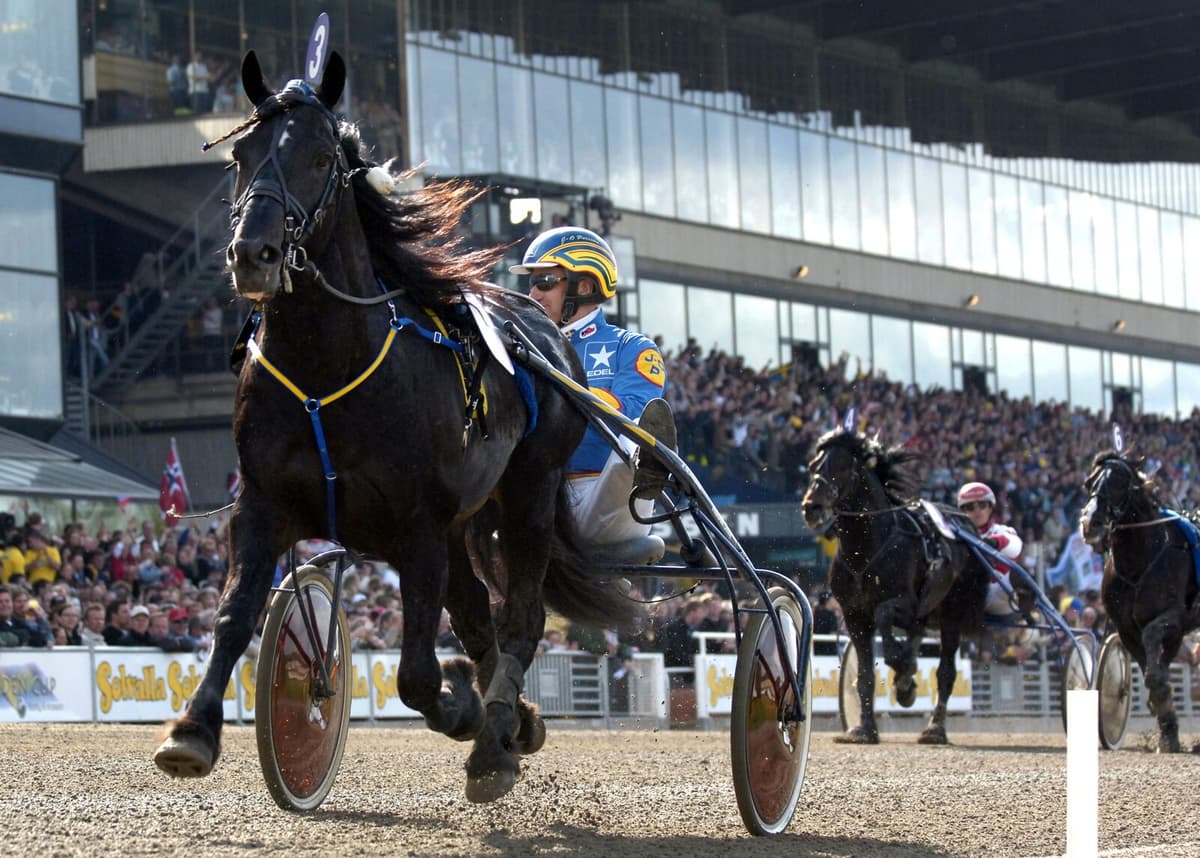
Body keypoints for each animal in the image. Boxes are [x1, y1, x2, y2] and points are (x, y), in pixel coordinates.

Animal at [152, 50, 637, 800]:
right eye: (241, 154)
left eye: (321, 157)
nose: (253, 253)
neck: (326, 367)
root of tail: (549, 336)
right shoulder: (263, 504)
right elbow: (233, 616)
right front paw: (191, 730)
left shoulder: (417, 524)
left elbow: (415, 674)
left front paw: (465, 709)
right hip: (464, 523)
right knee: (475, 613)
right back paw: (518, 722)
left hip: (526, 492)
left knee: (519, 616)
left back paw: (493, 740)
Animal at [801, 429, 988, 744]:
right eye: (814, 465)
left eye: (841, 467)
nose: (811, 506)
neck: (865, 548)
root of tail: (964, 525)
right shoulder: (854, 614)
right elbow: (865, 675)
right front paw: (863, 729)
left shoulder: (905, 603)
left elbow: (886, 617)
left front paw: (903, 671)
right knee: (917, 633)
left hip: (951, 613)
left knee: (945, 672)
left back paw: (934, 728)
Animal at [1079, 449, 1200, 753]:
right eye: (1090, 482)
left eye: (1119, 483)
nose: (1090, 522)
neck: (1139, 561)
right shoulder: (1126, 629)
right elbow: (1150, 666)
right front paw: (1166, 727)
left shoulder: (1174, 618)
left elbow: (1153, 645)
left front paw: (1165, 719)